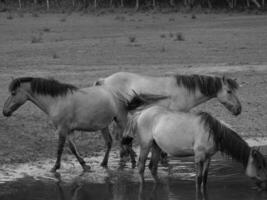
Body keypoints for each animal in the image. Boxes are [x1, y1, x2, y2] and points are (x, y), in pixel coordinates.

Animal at [2, 76, 166, 172]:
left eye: (13, 93)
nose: (4, 112)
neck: (57, 101)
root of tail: (119, 93)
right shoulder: (68, 130)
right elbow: (72, 148)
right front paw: (84, 165)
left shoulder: (62, 129)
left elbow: (60, 149)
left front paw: (55, 167)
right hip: (104, 125)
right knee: (110, 142)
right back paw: (105, 163)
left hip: (120, 120)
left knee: (126, 140)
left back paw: (131, 160)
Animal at [96, 72, 243, 164]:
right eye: (229, 91)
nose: (239, 110)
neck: (184, 91)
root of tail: (105, 80)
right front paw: (163, 156)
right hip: (121, 114)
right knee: (119, 134)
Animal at [123, 104, 267, 191]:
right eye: (259, 166)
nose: (263, 185)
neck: (212, 132)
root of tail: (141, 113)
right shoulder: (198, 157)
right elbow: (198, 179)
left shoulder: (208, 158)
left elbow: (205, 178)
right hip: (145, 145)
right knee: (141, 166)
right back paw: (142, 186)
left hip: (156, 146)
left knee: (152, 167)